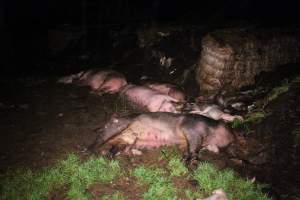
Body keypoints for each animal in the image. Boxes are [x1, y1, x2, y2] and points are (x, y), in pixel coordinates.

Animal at [89, 112, 234, 161]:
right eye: (227, 127)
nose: (233, 137)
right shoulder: (191, 129)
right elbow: (194, 147)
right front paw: (193, 160)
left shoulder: (184, 142)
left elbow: (187, 149)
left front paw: (183, 159)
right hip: (115, 128)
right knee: (100, 140)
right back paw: (90, 151)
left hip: (128, 139)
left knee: (120, 148)